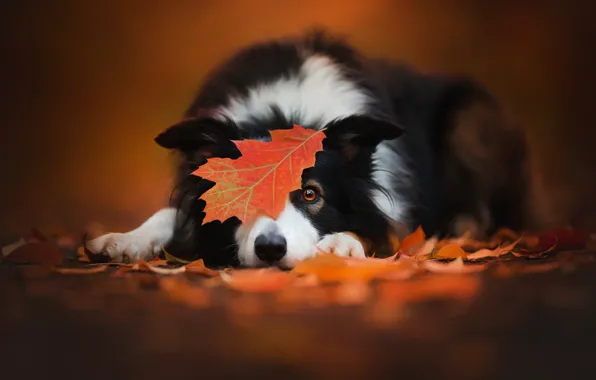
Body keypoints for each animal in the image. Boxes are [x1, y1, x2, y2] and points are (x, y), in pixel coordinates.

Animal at [86, 29, 528, 268]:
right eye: (240, 197)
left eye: (311, 194)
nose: (269, 249)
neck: (286, 114)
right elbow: (173, 212)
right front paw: (125, 239)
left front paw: (341, 242)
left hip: (473, 115)